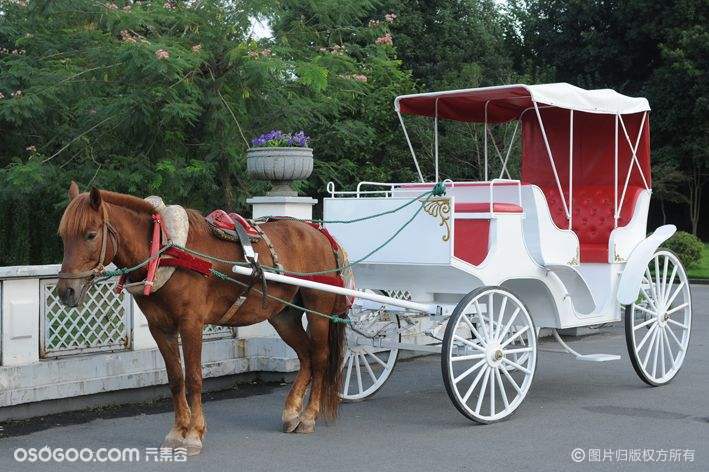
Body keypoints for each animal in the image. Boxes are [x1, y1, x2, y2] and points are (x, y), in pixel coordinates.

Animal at [57, 183, 348, 456]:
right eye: (62, 236)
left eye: (90, 234)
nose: (65, 291)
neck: (166, 251)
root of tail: (320, 233)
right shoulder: (159, 328)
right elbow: (176, 379)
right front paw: (177, 432)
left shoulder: (191, 324)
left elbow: (195, 378)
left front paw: (194, 434)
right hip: (283, 316)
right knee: (306, 356)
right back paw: (291, 413)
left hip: (318, 309)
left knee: (320, 358)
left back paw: (308, 416)